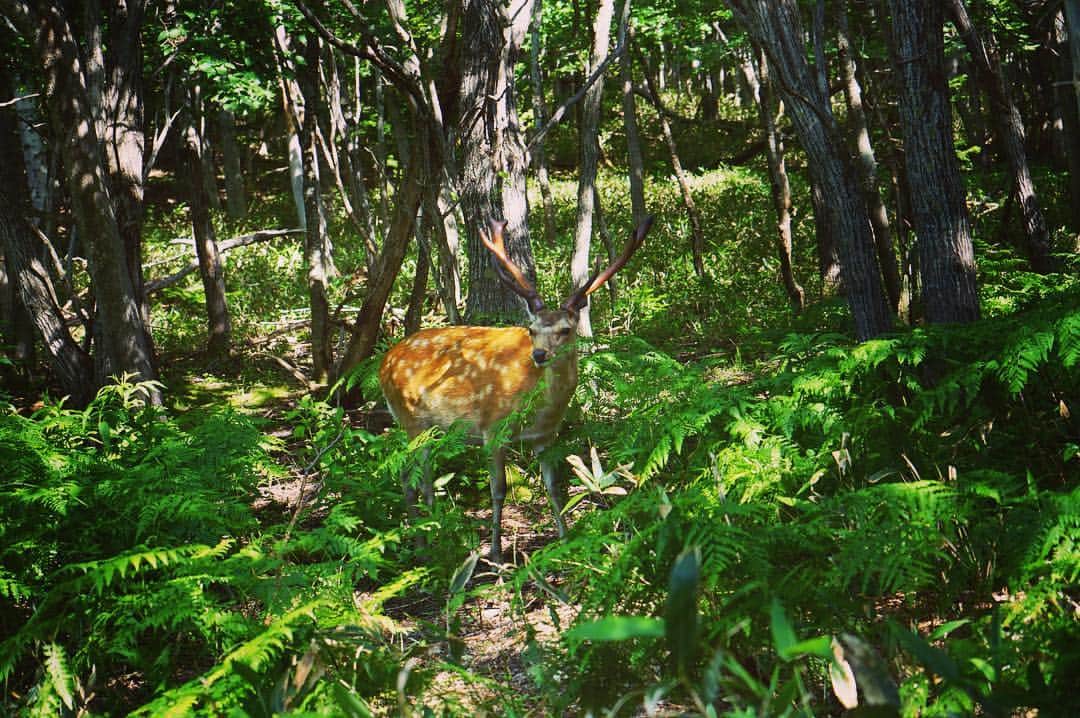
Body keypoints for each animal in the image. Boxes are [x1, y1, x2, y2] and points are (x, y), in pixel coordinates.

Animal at [379, 215, 654, 563]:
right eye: (531, 329)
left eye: (566, 329)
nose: (539, 355)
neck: (539, 410)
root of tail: (383, 364)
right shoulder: (492, 429)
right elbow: (498, 491)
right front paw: (496, 553)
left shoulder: (546, 436)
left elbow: (553, 487)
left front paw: (565, 538)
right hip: (411, 421)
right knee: (407, 477)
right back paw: (423, 548)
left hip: (429, 430)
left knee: (422, 479)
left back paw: (434, 538)